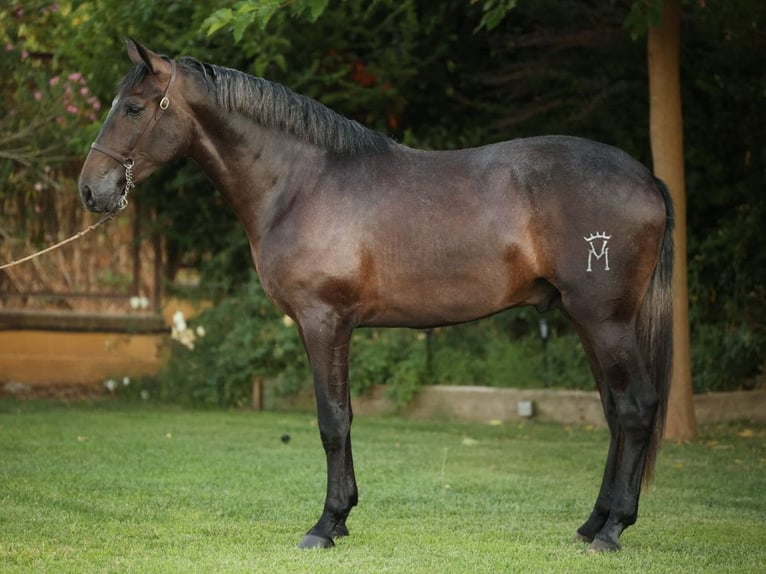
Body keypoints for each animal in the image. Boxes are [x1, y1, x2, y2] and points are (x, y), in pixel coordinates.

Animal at [78, 40, 676, 552]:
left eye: (134, 108)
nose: (91, 189)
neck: (302, 184)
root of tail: (647, 179)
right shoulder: (335, 326)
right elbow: (342, 417)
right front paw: (341, 518)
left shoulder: (323, 321)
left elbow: (332, 420)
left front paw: (325, 525)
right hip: (587, 320)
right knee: (614, 412)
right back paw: (593, 523)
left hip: (604, 319)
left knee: (636, 408)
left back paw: (612, 530)